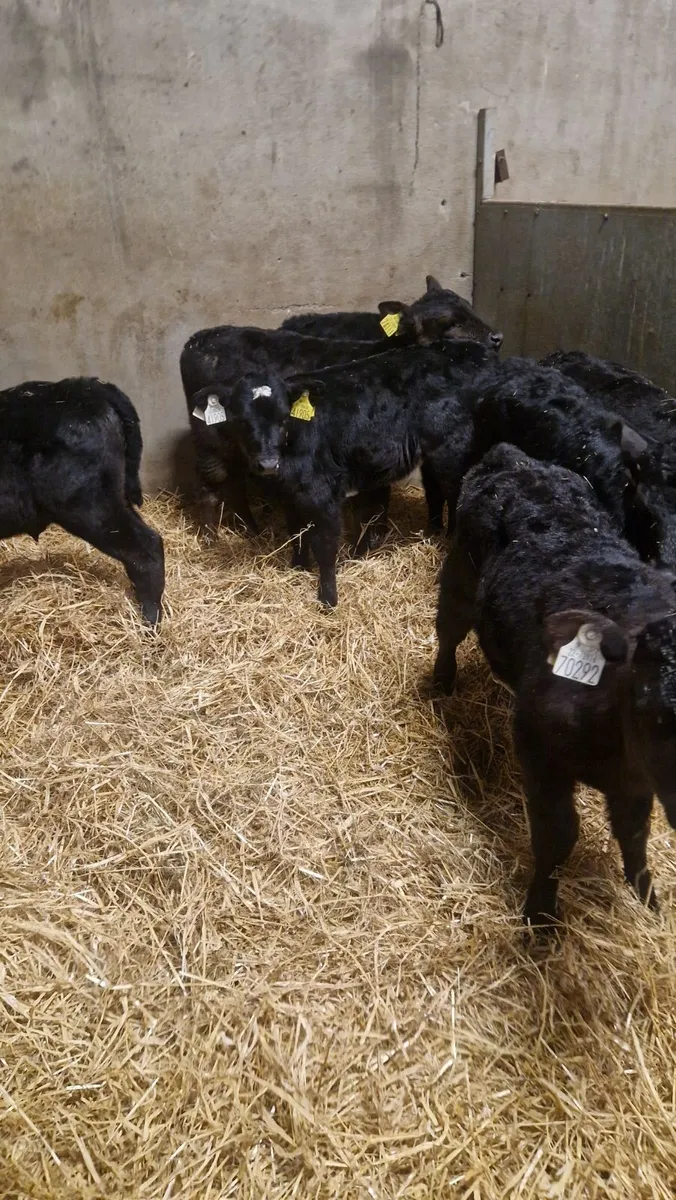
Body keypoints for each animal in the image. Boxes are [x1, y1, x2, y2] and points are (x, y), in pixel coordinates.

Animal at [189, 339, 495, 606]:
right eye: (240, 420)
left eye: (284, 416)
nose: (266, 463)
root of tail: (472, 349)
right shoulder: (291, 494)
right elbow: (296, 532)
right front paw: (298, 567)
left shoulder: (323, 494)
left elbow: (324, 543)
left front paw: (328, 598)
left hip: (453, 449)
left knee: (456, 493)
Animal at [433, 442, 676, 930]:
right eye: (660, 708)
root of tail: (516, 458)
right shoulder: (539, 751)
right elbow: (558, 835)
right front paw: (540, 915)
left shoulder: (637, 780)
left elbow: (635, 832)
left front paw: (647, 900)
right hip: (459, 580)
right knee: (447, 631)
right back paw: (441, 682)